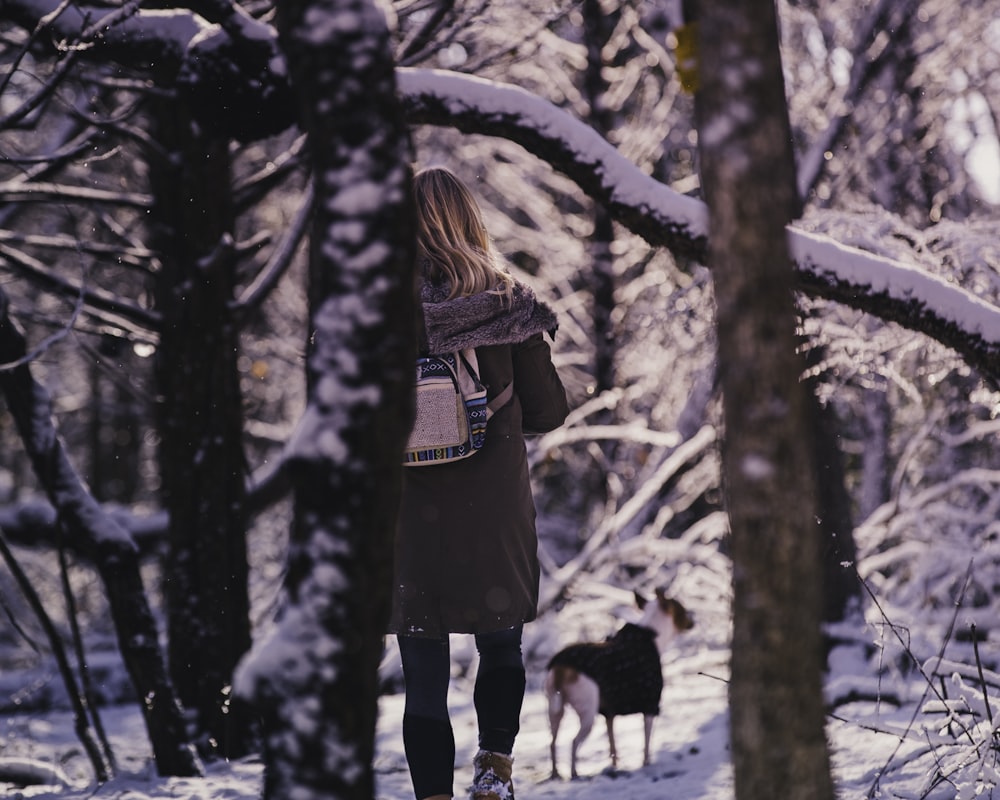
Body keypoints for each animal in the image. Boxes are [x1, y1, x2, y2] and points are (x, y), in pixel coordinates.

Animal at [540, 592, 696, 780]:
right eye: (682, 609)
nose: (693, 621)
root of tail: (560, 667)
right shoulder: (650, 707)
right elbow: (646, 743)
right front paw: (645, 764)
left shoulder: (609, 714)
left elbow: (613, 745)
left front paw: (614, 767)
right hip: (587, 713)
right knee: (574, 742)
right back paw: (574, 773)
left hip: (554, 710)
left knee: (552, 742)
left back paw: (555, 773)